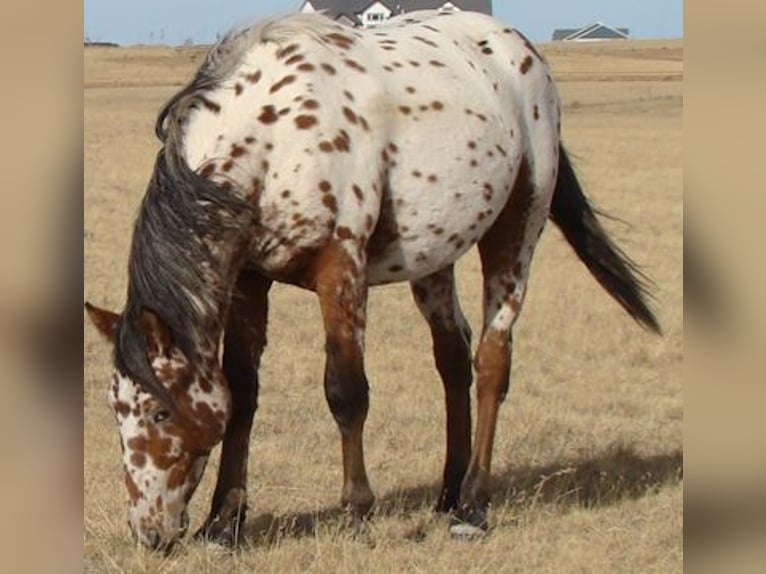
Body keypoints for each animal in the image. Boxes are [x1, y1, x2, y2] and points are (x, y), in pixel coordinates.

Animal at [84, 11, 660, 552]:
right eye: (116, 409)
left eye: (159, 411)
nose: (148, 531)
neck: (274, 135)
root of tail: (522, 52)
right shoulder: (249, 278)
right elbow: (243, 392)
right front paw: (224, 523)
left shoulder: (341, 269)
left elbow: (346, 392)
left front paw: (358, 513)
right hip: (434, 257)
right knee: (454, 359)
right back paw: (447, 494)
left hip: (516, 233)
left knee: (492, 362)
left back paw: (473, 506)